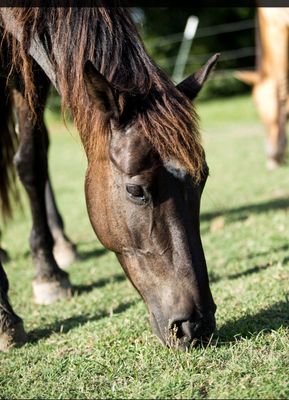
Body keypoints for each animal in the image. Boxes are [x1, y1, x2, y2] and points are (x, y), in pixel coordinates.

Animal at [0, 6, 217, 350]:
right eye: (135, 191)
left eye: (202, 179)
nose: (197, 325)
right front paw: (5, 317)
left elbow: (33, 161)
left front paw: (48, 274)